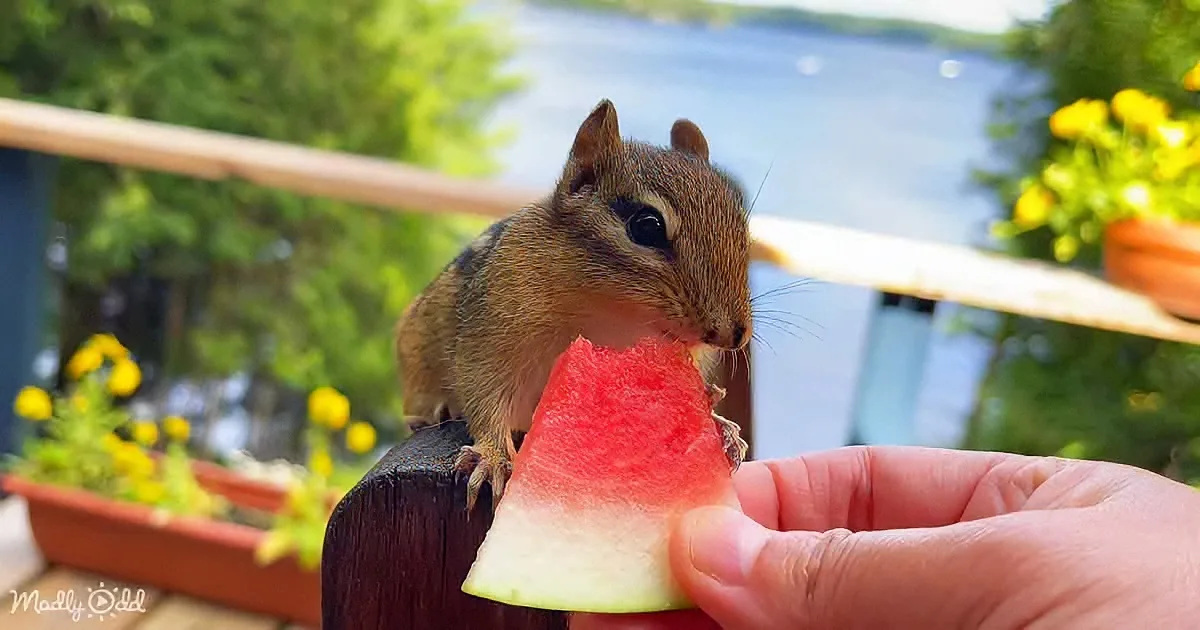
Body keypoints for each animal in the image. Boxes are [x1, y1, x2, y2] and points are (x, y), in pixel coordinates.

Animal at [394, 99, 752, 513]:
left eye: (741, 225)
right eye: (647, 226)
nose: (732, 335)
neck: (611, 312)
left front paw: (718, 422)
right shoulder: (494, 329)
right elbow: (484, 390)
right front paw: (493, 456)